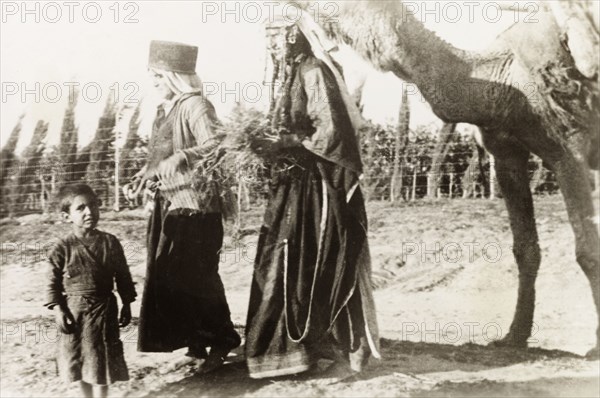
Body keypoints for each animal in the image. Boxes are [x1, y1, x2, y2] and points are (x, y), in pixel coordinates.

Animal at [304, 1, 600, 358]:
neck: (497, 79)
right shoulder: (505, 154)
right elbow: (525, 249)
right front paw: (512, 337)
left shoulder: (572, 148)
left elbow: (588, 251)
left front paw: (596, 345)